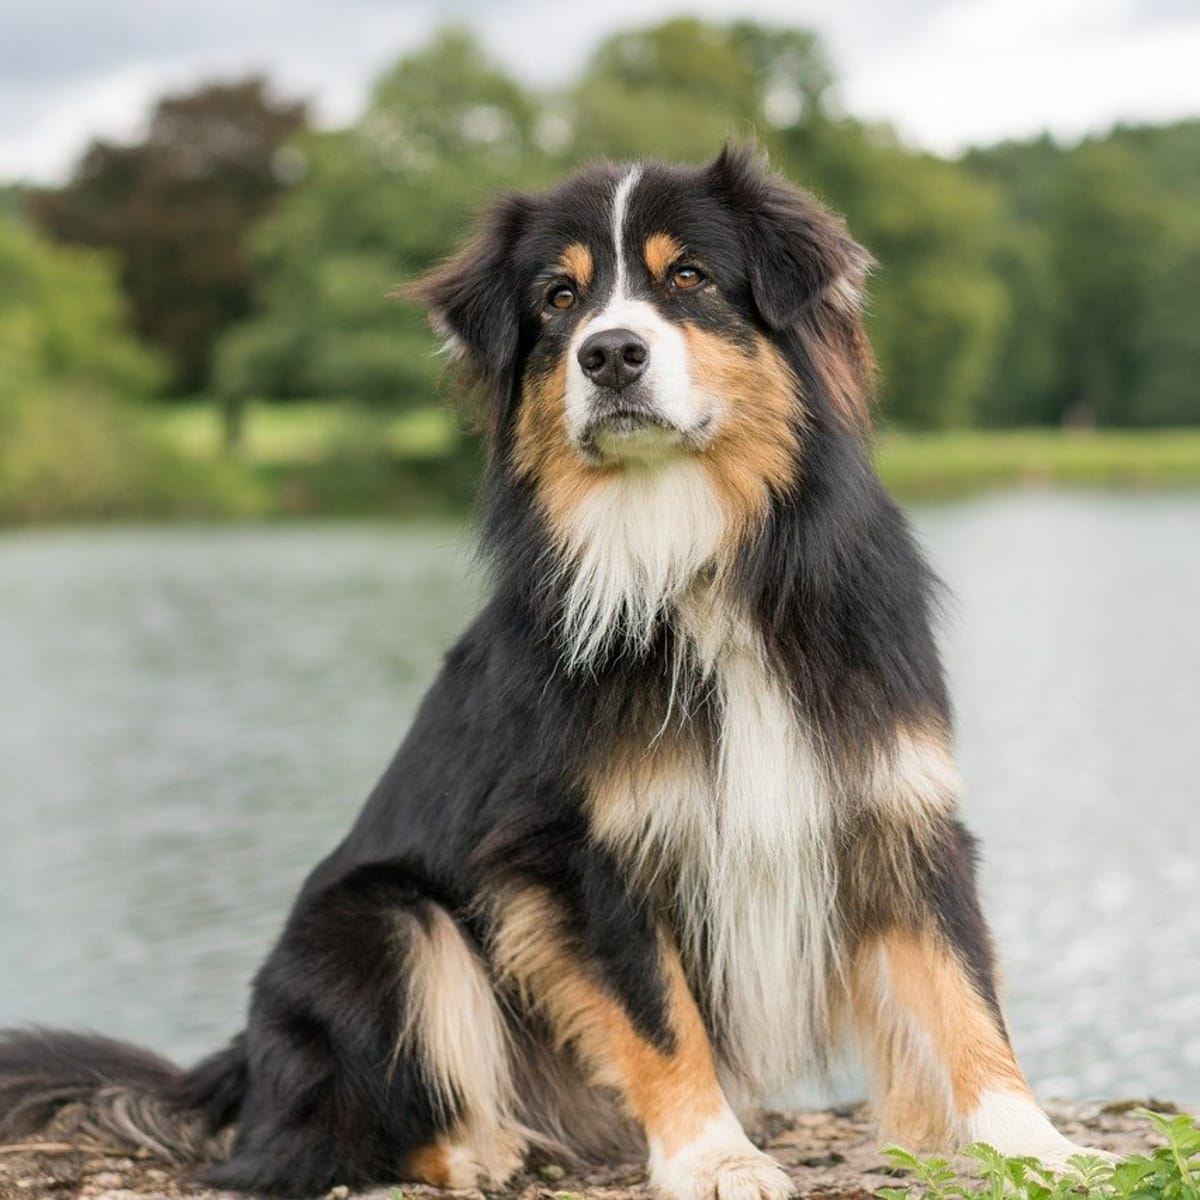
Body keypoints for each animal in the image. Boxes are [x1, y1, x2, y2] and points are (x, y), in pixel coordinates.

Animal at [0, 150, 1094, 1200]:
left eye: (689, 278)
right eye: (559, 299)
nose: (610, 353)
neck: (689, 555)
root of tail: (234, 1067)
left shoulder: (893, 804)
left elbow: (964, 993)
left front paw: (1038, 1146)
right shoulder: (580, 849)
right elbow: (659, 1015)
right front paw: (713, 1157)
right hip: (385, 925)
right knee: (313, 1144)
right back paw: (477, 1151)